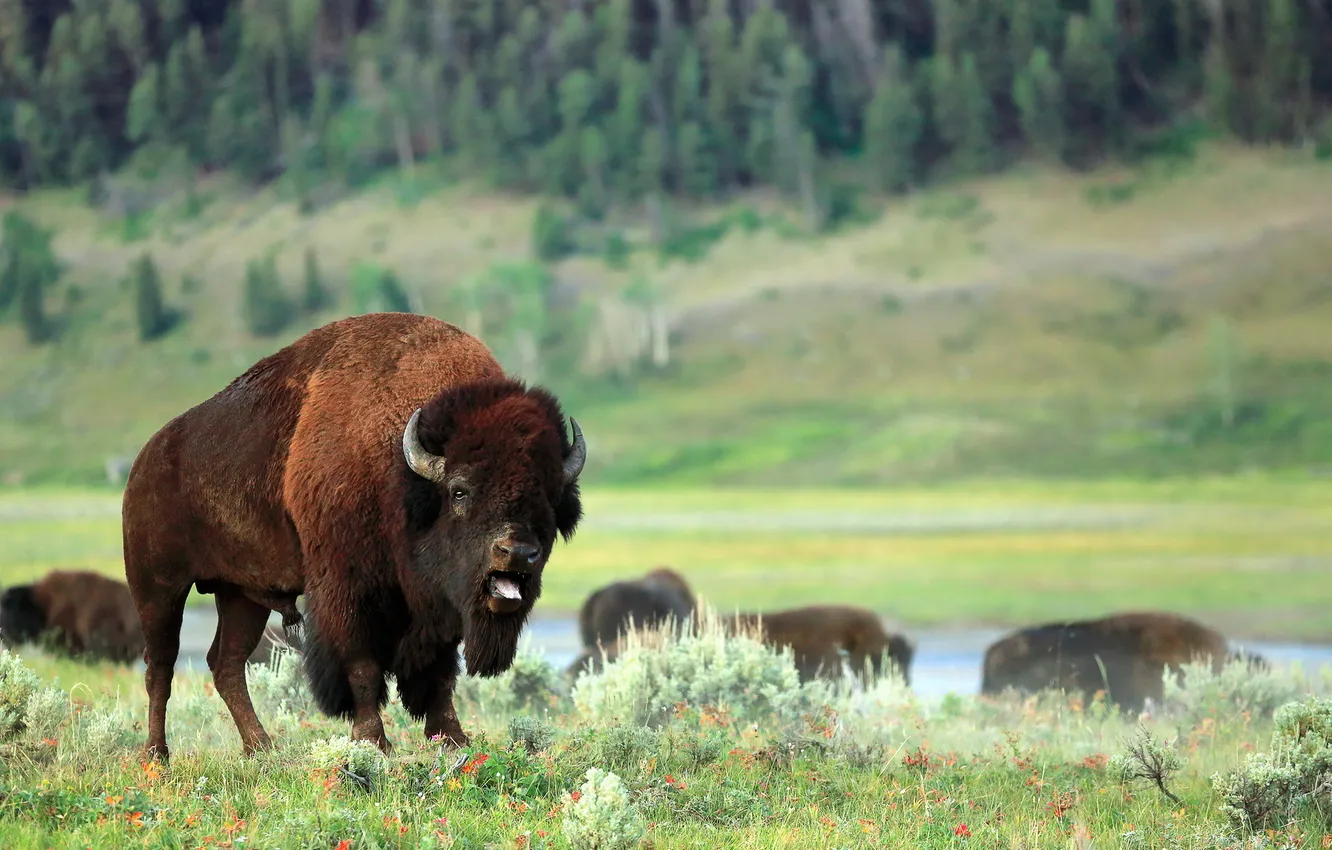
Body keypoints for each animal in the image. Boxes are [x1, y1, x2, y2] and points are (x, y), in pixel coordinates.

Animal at [122, 313, 586, 761]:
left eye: (550, 497)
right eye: (460, 490)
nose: (517, 552)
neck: (402, 473)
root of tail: (145, 459)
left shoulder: (440, 611)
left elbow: (439, 673)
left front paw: (453, 739)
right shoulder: (348, 591)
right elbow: (361, 663)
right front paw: (373, 741)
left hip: (239, 594)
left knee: (226, 664)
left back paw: (261, 748)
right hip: (159, 588)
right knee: (160, 667)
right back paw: (157, 756)